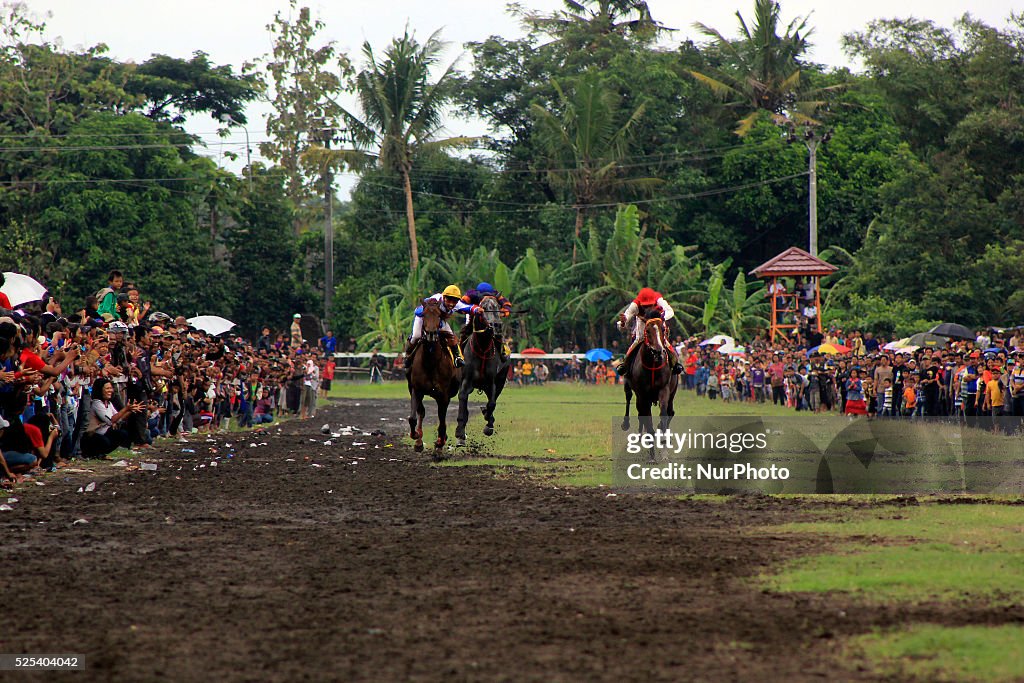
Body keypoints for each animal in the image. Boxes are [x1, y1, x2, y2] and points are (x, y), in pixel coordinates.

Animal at [407, 296, 460, 456]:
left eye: (438, 315)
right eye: (424, 315)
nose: (430, 334)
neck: (430, 362)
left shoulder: (444, 394)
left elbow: (442, 421)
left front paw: (440, 443)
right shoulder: (416, 390)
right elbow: (413, 417)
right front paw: (416, 437)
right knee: (421, 412)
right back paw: (419, 441)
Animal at [456, 294, 507, 448]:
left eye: (497, 306)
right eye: (483, 307)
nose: (497, 325)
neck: (483, 349)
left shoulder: (492, 383)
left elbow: (492, 403)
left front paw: (488, 426)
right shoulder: (466, 382)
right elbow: (462, 400)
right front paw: (460, 433)